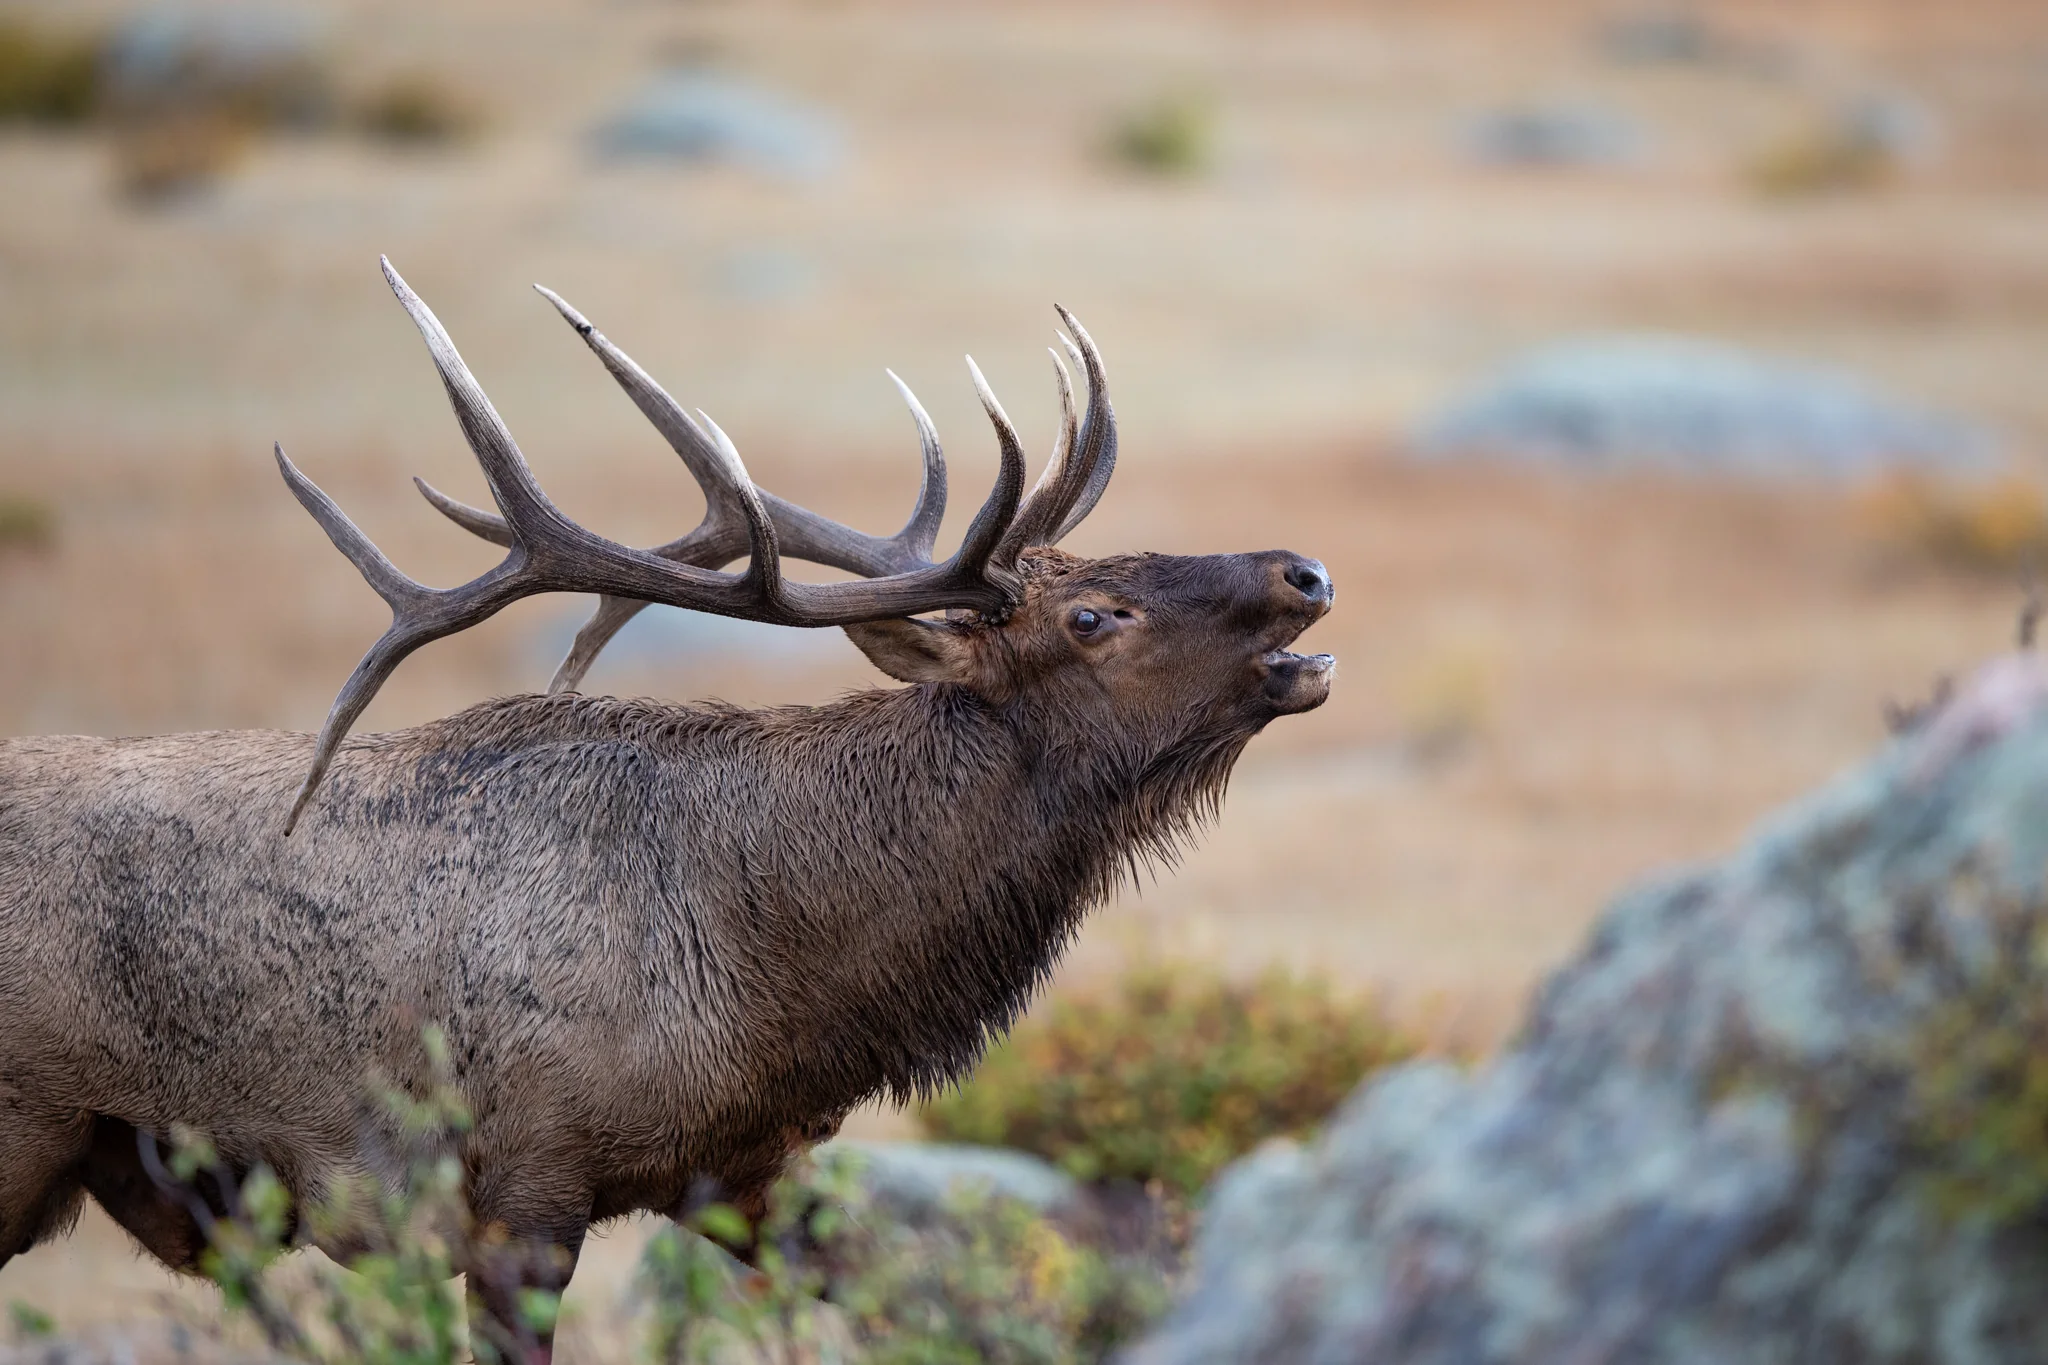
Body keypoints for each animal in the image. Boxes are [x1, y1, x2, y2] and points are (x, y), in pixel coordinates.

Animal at [0, 259, 1334, 1362]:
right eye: (1093, 615)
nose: (1303, 571)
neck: (772, 978)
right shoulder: (520, 1185)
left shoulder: (748, 1170)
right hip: (25, 1128)